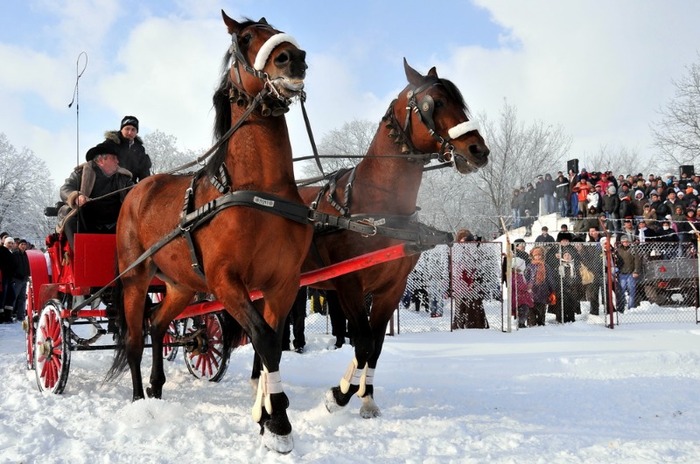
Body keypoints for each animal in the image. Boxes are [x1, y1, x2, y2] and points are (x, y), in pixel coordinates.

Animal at [107, 10, 312, 454]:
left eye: (276, 30)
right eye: (247, 37)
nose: (293, 57)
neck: (262, 189)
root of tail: (138, 190)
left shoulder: (283, 282)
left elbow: (271, 344)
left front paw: (266, 416)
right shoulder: (226, 281)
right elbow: (265, 339)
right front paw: (279, 423)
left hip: (181, 286)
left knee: (157, 325)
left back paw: (157, 387)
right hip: (135, 278)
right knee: (134, 338)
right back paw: (139, 399)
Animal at [270, 58, 490, 416]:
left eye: (460, 102)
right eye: (436, 103)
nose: (478, 150)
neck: (375, 207)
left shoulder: (391, 288)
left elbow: (375, 345)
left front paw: (366, 396)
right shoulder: (349, 286)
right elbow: (361, 342)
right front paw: (340, 393)